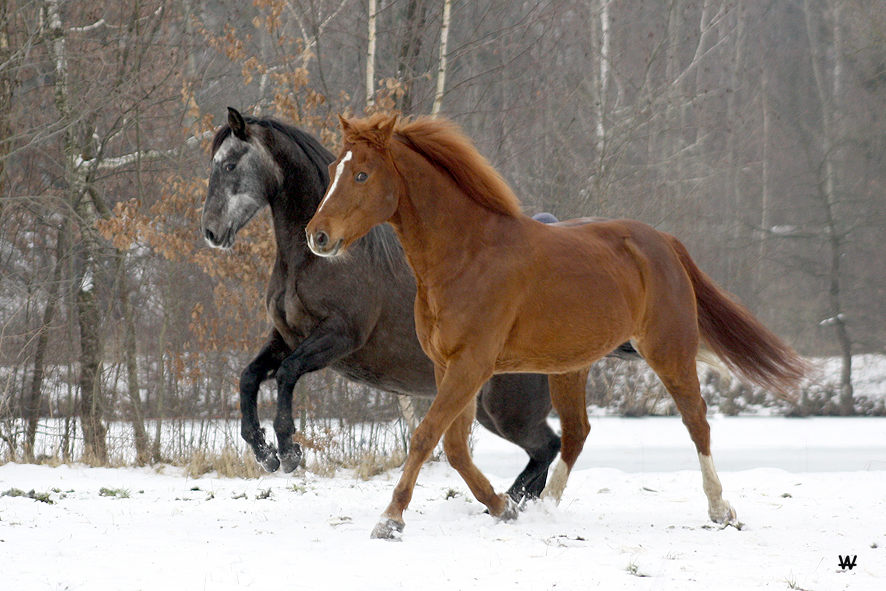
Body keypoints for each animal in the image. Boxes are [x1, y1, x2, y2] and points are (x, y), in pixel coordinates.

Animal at [200, 110, 636, 500]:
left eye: (231, 164)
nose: (211, 232)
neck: (311, 262)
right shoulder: (286, 336)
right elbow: (249, 377)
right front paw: (263, 452)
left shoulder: (339, 336)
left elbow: (287, 374)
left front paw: (289, 450)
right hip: (491, 409)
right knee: (544, 450)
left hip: (508, 410)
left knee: (546, 447)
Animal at [306, 113, 812, 540]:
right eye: (333, 167)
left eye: (362, 174)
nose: (317, 236)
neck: (466, 256)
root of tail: (663, 242)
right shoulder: (445, 365)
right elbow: (454, 447)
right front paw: (503, 507)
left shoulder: (471, 365)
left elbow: (426, 437)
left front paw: (390, 520)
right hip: (571, 367)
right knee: (576, 433)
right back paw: (545, 507)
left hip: (669, 350)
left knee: (696, 421)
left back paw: (720, 509)